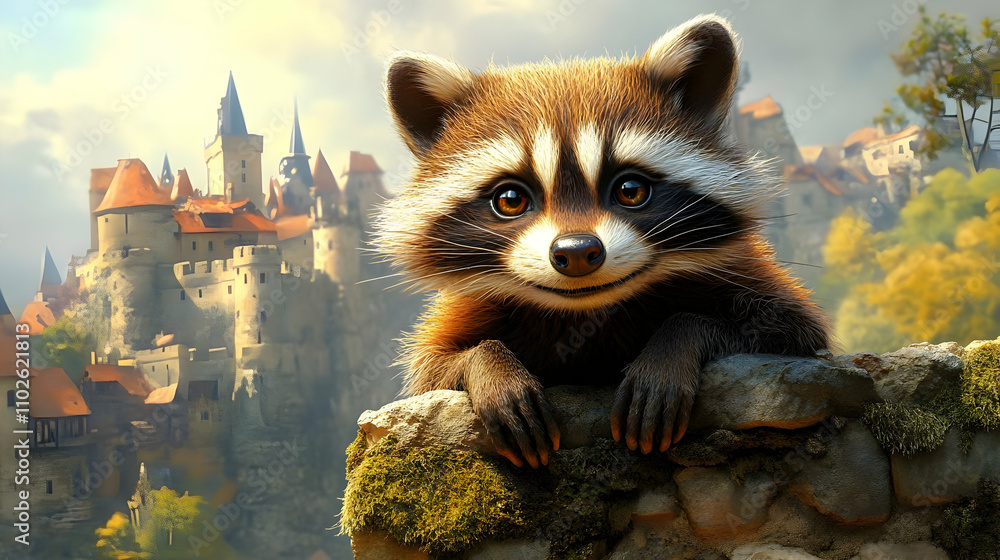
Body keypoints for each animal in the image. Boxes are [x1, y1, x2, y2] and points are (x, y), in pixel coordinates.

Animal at [376, 14, 830, 468]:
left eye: (630, 190)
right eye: (510, 200)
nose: (577, 252)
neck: (586, 313)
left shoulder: (748, 277)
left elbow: (788, 330)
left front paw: (674, 345)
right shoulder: (465, 309)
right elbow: (432, 369)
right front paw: (489, 365)